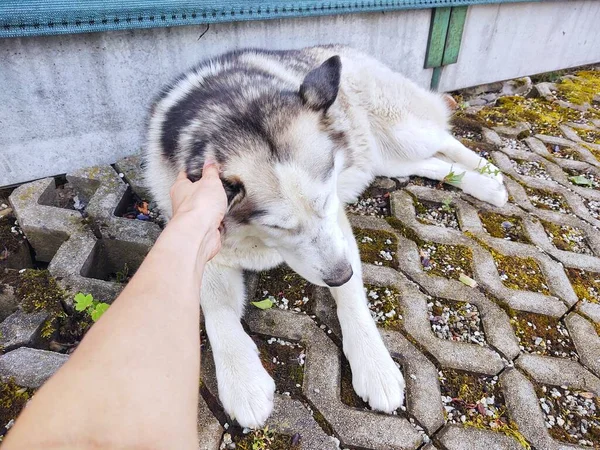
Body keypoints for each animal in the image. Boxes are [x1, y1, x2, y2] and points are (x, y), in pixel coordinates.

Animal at [144, 45, 506, 428]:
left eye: (326, 201)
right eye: (280, 227)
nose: (340, 273)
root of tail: (346, 49)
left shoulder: (338, 229)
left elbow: (351, 298)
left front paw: (373, 364)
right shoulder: (204, 238)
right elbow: (217, 311)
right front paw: (242, 379)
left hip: (402, 132)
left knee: (443, 138)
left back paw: (489, 173)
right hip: (383, 159)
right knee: (430, 163)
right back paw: (485, 184)